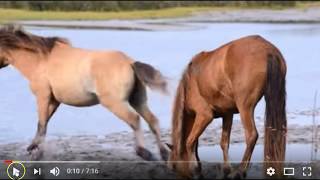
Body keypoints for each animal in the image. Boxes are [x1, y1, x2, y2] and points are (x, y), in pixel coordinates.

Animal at [0, 24, 169, 161]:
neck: (40, 60)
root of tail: (129, 62)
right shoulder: (55, 100)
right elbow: (44, 123)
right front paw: (35, 148)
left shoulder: (43, 96)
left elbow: (42, 123)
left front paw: (36, 151)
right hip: (137, 100)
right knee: (152, 120)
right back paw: (163, 153)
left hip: (115, 103)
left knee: (135, 120)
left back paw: (144, 152)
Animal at [168, 35, 288, 179]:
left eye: (173, 166)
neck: (189, 82)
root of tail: (268, 50)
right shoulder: (227, 114)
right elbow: (223, 143)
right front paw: (225, 170)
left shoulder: (204, 115)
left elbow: (189, 142)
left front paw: (196, 170)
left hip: (245, 107)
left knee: (251, 135)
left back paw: (240, 171)